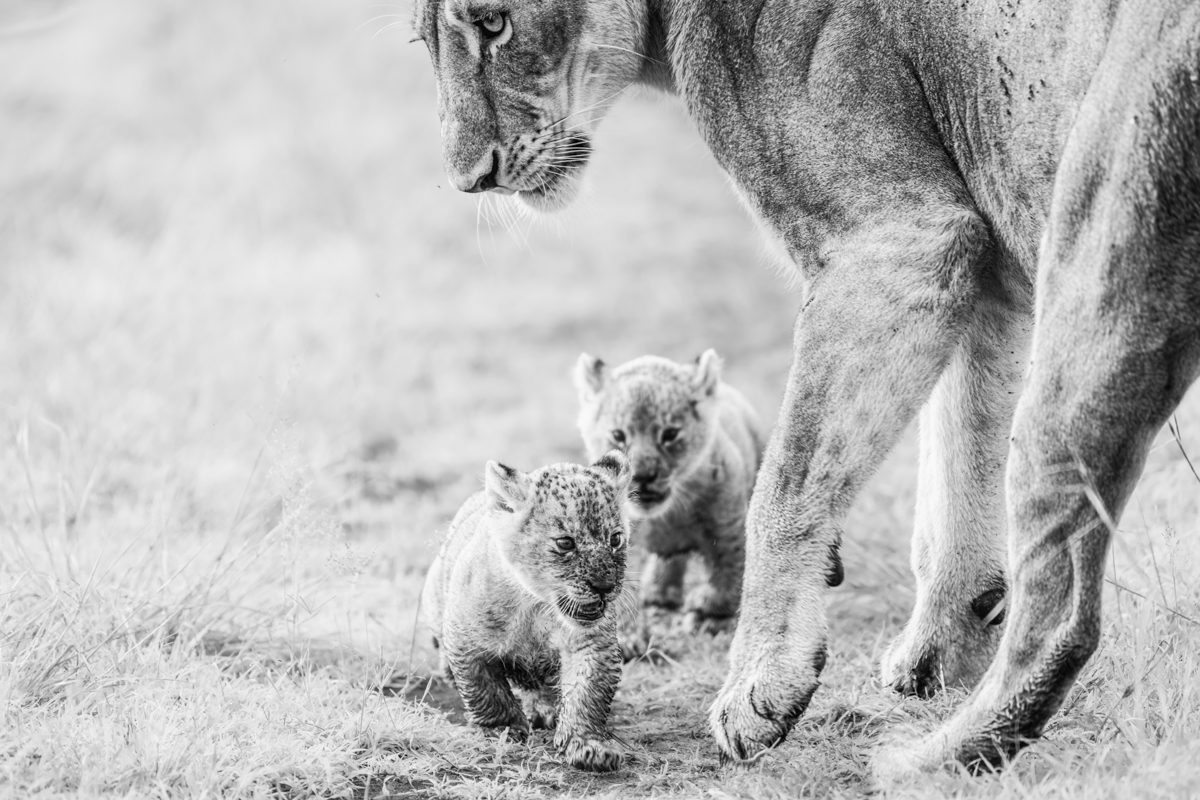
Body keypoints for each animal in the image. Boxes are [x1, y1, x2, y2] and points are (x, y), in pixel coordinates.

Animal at [421, 452, 633, 772]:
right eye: (565, 542)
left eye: (615, 539)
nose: (604, 586)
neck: (536, 605)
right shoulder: (466, 642)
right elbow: (486, 691)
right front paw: (502, 730)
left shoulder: (592, 644)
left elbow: (587, 693)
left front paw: (589, 746)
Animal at [574, 350, 764, 633]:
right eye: (618, 435)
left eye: (670, 434)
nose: (643, 476)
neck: (668, 515)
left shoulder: (728, 528)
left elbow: (729, 569)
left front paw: (711, 615)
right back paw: (660, 594)